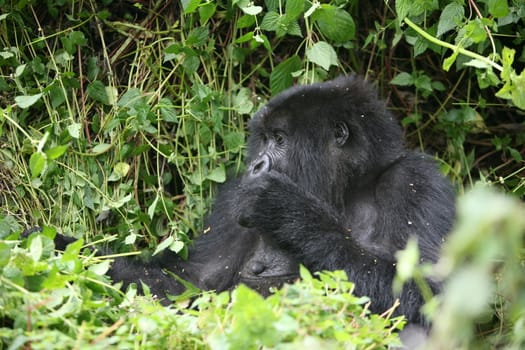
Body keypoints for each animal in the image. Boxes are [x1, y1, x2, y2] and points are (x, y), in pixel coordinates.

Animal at [54, 75, 454, 326]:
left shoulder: (417, 180)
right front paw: (66, 253)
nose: (257, 165)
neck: (345, 189)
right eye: (263, 139)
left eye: (279, 139)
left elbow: (433, 293)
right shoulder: (233, 198)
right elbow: (190, 285)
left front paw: (287, 211)